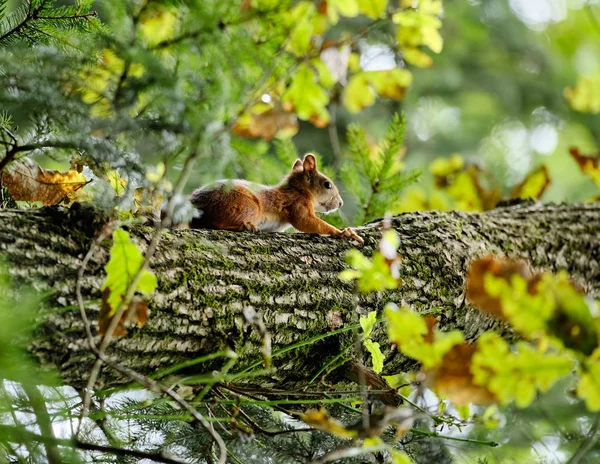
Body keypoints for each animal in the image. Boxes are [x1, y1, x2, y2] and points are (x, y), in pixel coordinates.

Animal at [190, 154, 364, 246]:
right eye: (327, 185)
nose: (340, 203)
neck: (298, 190)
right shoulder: (296, 203)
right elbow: (306, 221)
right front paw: (343, 232)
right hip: (246, 205)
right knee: (217, 223)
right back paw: (245, 226)